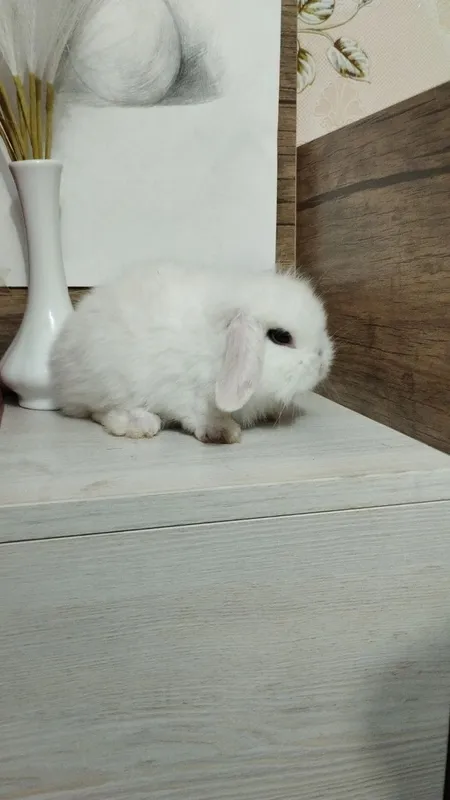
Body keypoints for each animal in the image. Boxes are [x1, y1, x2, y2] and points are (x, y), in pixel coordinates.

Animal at [50, 263, 334, 444]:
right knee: (98, 412)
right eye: (281, 337)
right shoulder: (185, 390)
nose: (322, 364)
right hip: (108, 383)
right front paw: (223, 432)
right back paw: (140, 424)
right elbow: (196, 412)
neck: (218, 345)